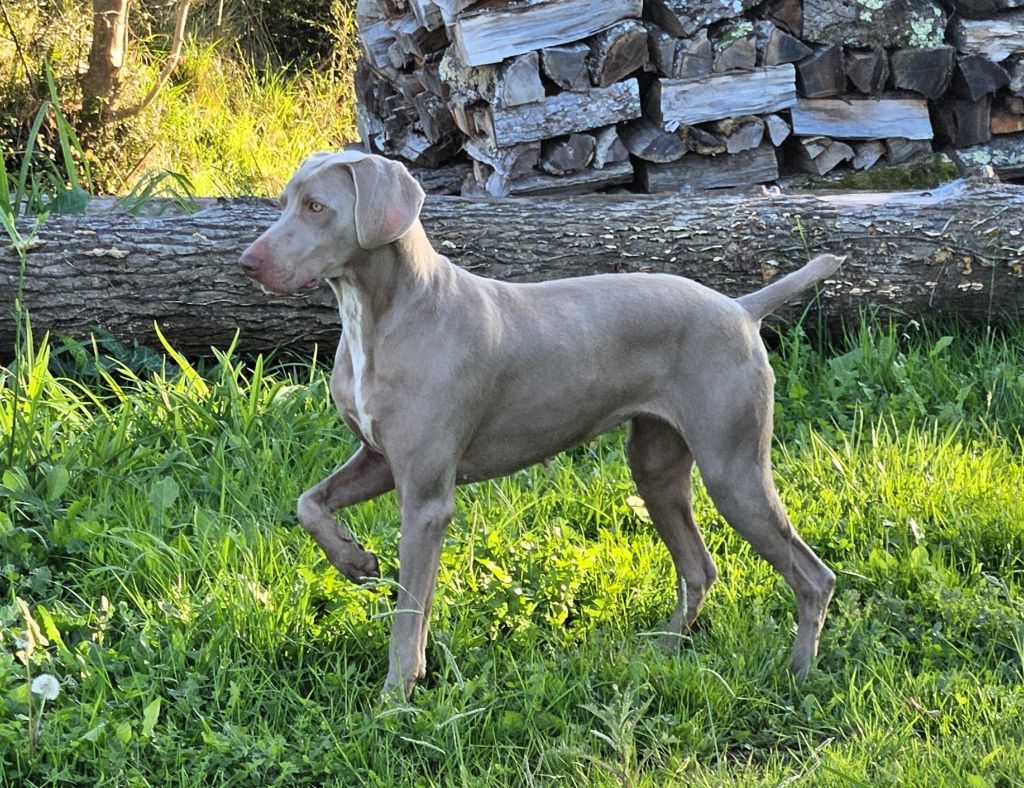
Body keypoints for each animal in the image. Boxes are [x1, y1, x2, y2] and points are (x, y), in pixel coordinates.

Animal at [239, 150, 839, 695]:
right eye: (285, 201)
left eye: (317, 207)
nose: (246, 263)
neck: (380, 316)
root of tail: (740, 308)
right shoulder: (382, 460)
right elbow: (310, 504)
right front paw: (354, 559)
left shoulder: (426, 498)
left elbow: (409, 615)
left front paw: (395, 697)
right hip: (657, 467)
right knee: (699, 567)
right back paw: (664, 653)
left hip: (734, 470)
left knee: (814, 576)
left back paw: (799, 673)